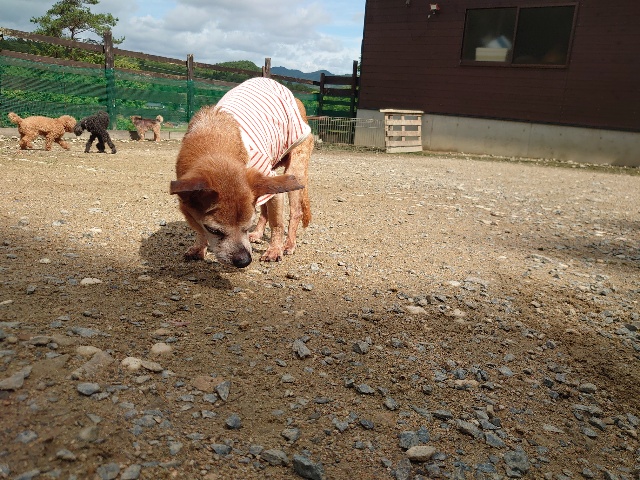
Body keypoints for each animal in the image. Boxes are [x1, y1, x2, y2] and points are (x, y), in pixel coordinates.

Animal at [170, 77, 313, 268]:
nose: (244, 260)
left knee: (295, 212)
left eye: (246, 225)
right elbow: (198, 227)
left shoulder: (272, 182)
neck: (213, 141)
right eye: (213, 230)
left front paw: (274, 250)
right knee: (264, 210)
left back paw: (288, 244)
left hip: (293, 173)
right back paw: (258, 234)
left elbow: (277, 223)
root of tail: (297, 101)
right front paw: (199, 247)